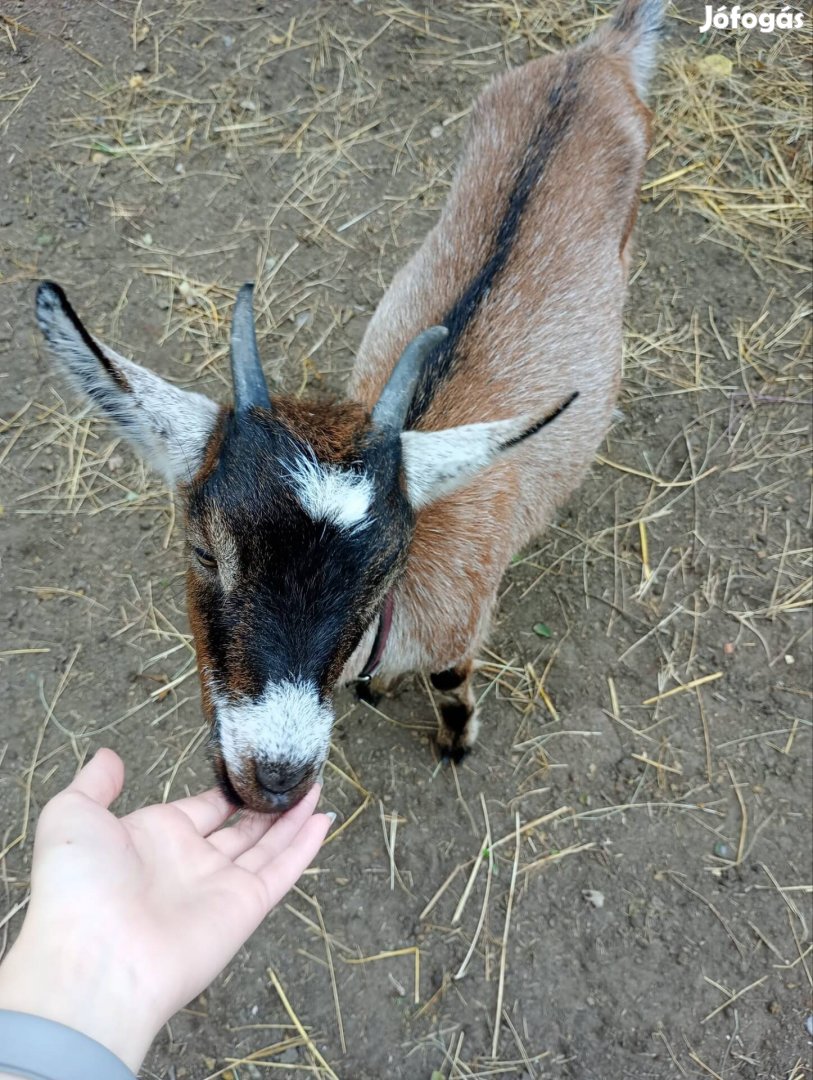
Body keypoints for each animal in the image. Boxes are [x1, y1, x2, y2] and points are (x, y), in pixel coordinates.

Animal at [34, 0, 660, 812]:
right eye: (202, 549)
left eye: (384, 572)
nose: (274, 779)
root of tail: (598, 54)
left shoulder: (461, 631)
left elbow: (451, 685)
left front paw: (455, 742)